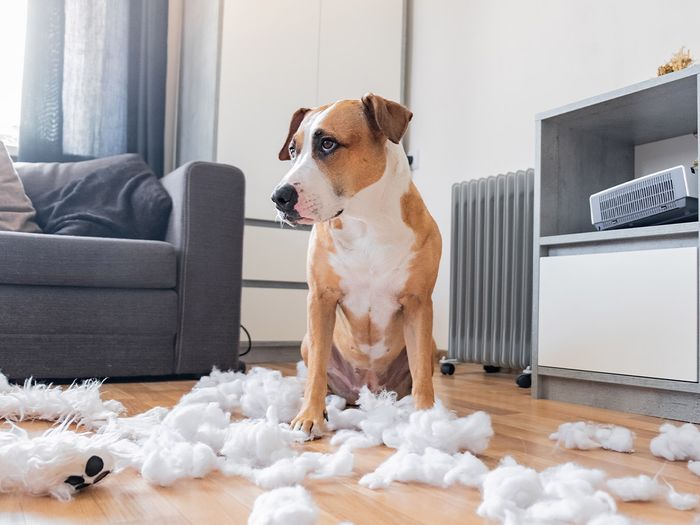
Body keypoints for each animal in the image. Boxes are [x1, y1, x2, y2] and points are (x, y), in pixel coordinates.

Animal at [272, 93, 440, 434]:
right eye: (293, 150)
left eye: (327, 144)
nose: (279, 197)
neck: (366, 221)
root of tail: (367, 389)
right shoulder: (320, 299)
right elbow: (317, 369)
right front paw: (309, 417)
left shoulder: (418, 303)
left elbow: (421, 375)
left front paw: (425, 420)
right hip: (307, 341)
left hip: (431, 344)